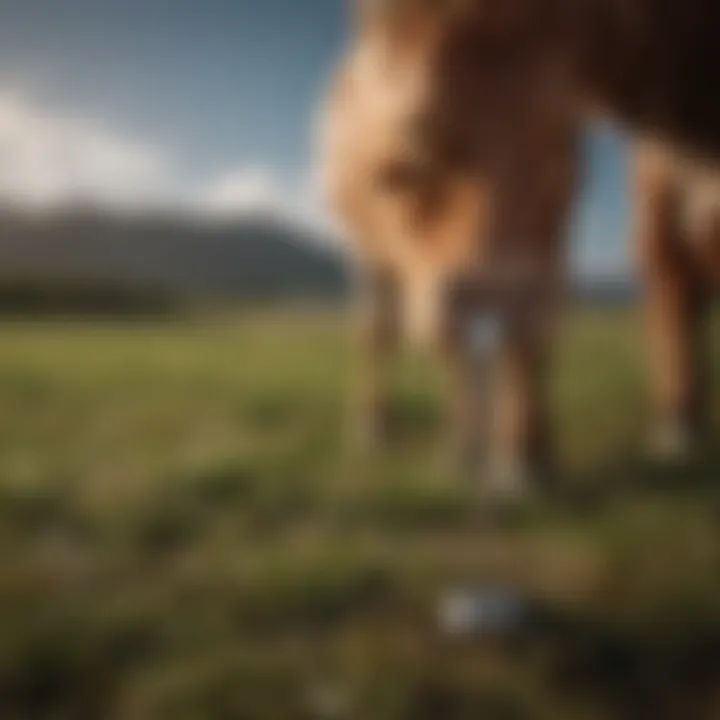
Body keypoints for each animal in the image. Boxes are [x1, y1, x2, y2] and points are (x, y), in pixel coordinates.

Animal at [320, 0, 720, 496]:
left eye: (560, 143)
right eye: (410, 148)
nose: (493, 299)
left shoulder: (548, 248)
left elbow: (531, 337)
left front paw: (526, 459)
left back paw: (461, 443)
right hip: (374, 259)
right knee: (379, 331)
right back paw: (376, 427)